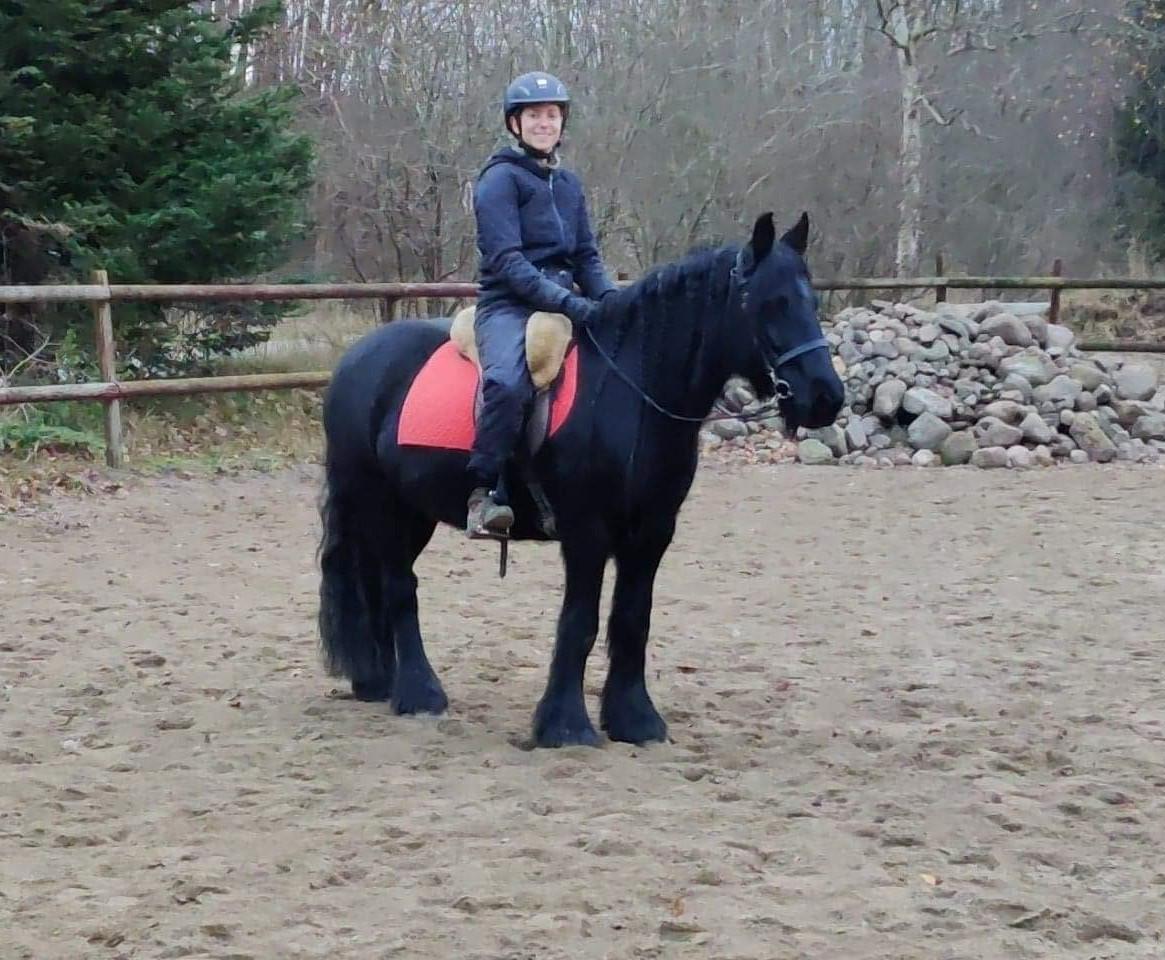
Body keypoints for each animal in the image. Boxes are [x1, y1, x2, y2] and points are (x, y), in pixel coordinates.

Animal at [316, 211, 844, 748]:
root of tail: (356, 360)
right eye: (771, 303)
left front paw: (635, 720)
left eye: (812, 300)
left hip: (412, 512)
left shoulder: (652, 532)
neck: (631, 391)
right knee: (399, 587)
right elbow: (579, 623)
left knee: (378, 584)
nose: (826, 397)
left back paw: (378, 682)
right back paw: (419, 694)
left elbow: (633, 618)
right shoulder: (587, 531)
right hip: (378, 502)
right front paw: (565, 725)